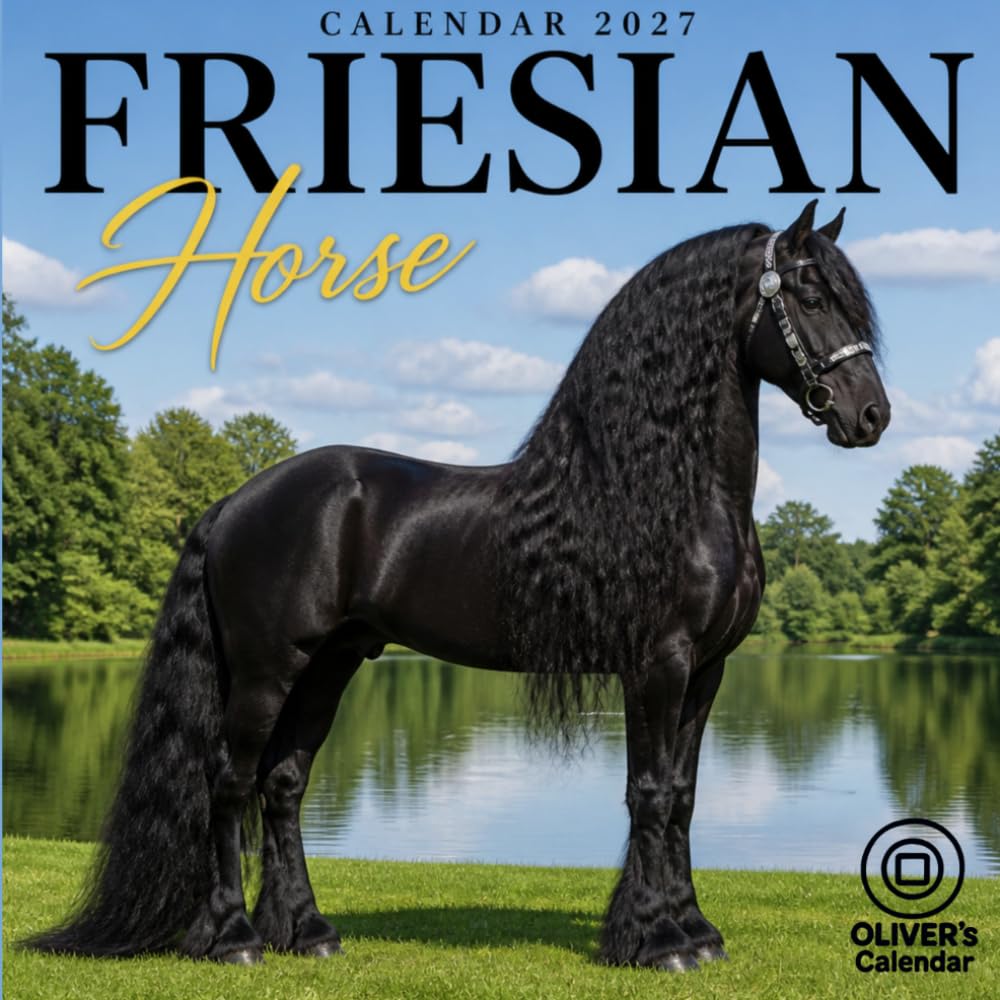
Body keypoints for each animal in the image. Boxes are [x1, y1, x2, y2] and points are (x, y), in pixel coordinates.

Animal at [27, 200, 890, 971]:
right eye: (810, 294)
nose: (871, 415)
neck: (667, 494)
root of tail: (234, 501)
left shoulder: (707, 671)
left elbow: (681, 795)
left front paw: (695, 932)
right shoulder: (657, 664)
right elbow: (648, 792)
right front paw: (656, 943)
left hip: (329, 666)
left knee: (282, 784)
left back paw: (306, 932)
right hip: (267, 669)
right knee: (229, 782)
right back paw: (235, 940)